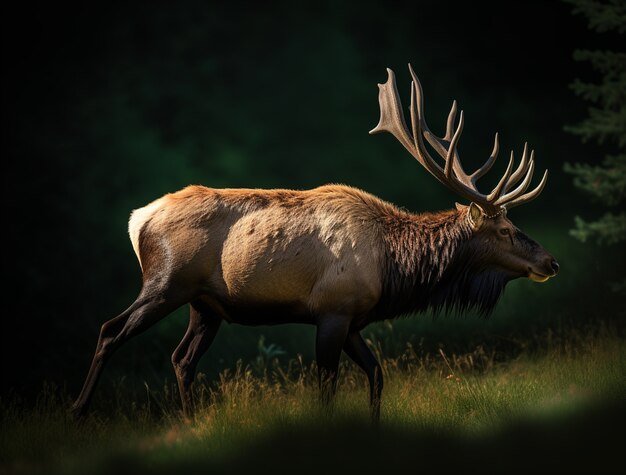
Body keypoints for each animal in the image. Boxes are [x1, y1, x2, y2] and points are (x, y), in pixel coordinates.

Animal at [70, 64, 560, 424]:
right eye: (504, 230)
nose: (551, 262)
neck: (393, 266)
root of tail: (137, 220)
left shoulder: (355, 320)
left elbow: (378, 375)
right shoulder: (332, 311)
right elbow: (327, 388)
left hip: (206, 306)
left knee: (181, 358)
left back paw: (190, 422)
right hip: (166, 284)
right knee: (111, 330)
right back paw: (77, 412)